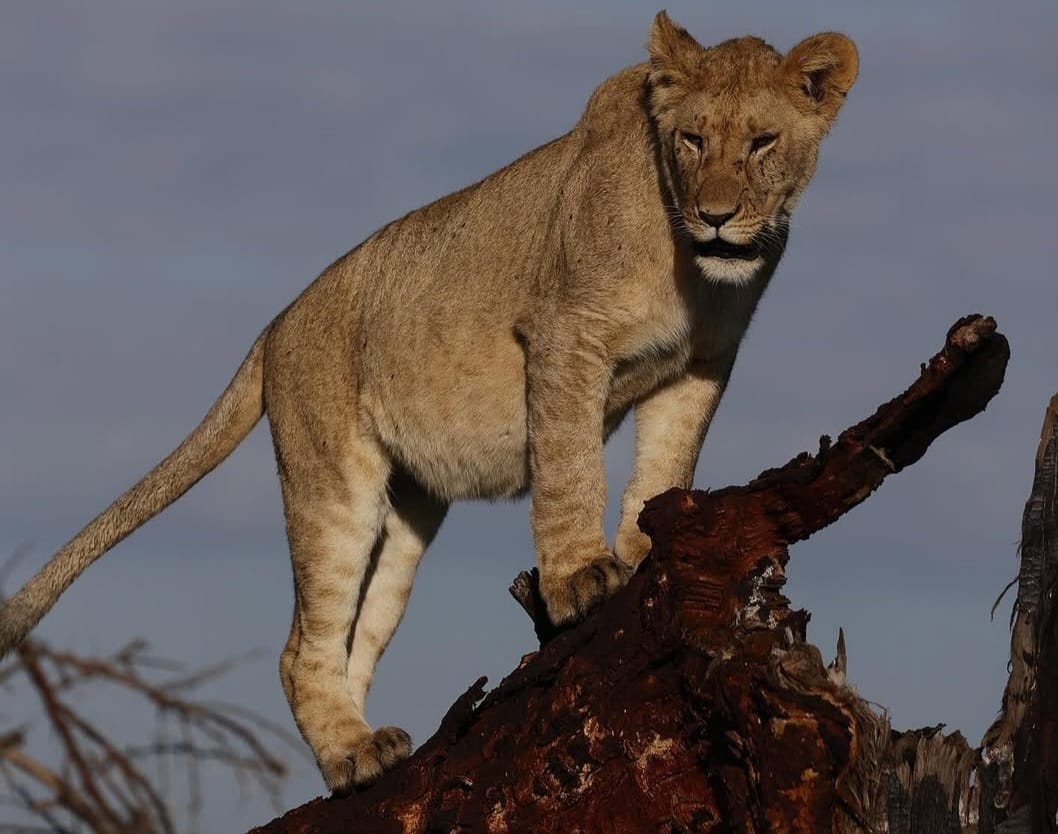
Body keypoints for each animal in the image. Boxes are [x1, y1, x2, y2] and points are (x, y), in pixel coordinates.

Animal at [0, 13, 857, 792]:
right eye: (691, 140)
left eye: (761, 142)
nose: (716, 214)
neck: (692, 266)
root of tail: (274, 327)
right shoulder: (562, 336)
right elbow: (570, 464)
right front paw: (580, 578)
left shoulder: (702, 365)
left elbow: (667, 465)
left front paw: (650, 551)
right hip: (331, 478)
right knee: (301, 647)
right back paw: (352, 758)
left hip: (406, 510)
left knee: (353, 635)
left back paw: (361, 749)